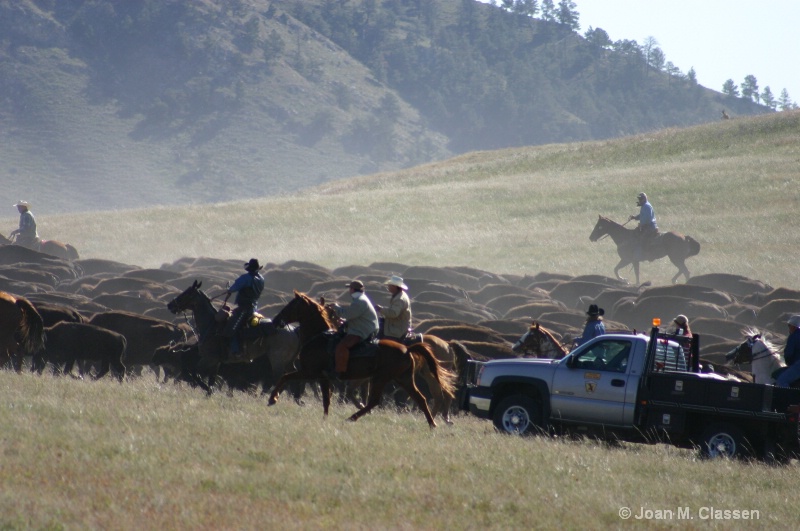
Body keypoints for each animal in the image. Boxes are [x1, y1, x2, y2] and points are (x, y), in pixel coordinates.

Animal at [166, 282, 300, 394]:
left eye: (187, 293)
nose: (170, 305)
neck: (211, 324)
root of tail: (293, 330)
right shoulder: (216, 362)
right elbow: (210, 380)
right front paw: (209, 393)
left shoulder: (209, 359)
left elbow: (196, 374)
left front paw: (206, 388)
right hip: (288, 362)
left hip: (277, 360)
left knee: (276, 379)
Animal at [268, 290, 456, 428]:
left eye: (290, 305)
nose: (276, 320)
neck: (319, 337)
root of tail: (408, 348)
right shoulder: (323, 377)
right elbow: (327, 400)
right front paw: (325, 420)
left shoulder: (310, 372)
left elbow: (286, 377)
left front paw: (272, 399)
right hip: (403, 378)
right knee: (423, 398)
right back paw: (432, 424)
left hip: (384, 378)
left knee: (377, 401)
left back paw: (352, 418)